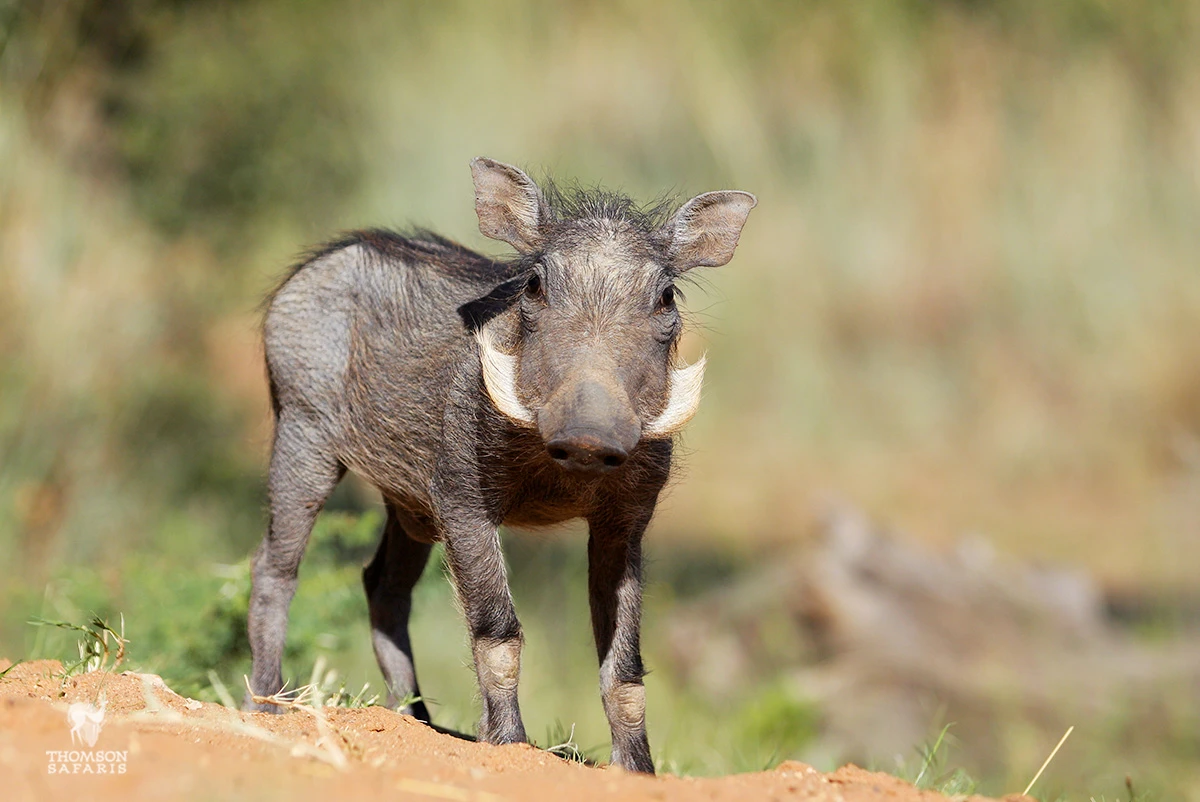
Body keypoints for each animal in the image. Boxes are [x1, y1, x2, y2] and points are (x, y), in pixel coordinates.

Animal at [245, 157, 755, 773]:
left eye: (667, 296)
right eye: (535, 283)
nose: (588, 436)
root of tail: (322, 260)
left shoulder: (623, 525)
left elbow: (624, 669)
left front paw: (638, 772)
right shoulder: (464, 502)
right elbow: (498, 632)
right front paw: (509, 745)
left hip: (410, 506)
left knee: (383, 587)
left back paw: (416, 722)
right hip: (304, 438)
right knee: (275, 569)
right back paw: (265, 708)